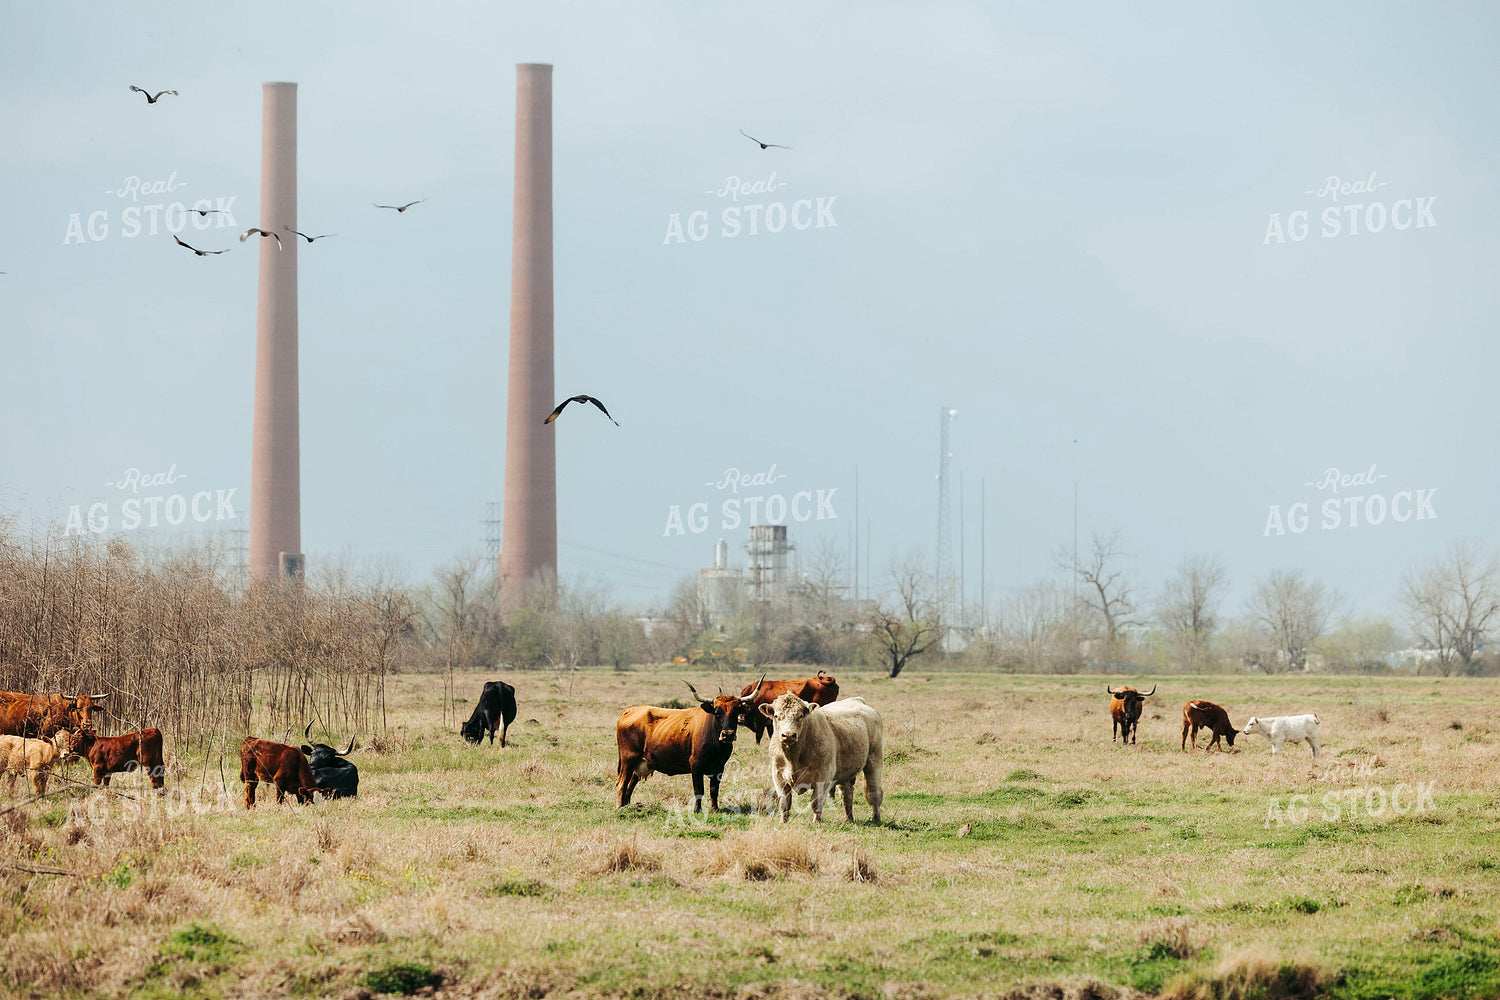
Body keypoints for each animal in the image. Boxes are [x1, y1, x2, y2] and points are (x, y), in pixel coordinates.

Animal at [615, 676, 764, 813]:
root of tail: (630, 710)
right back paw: (620, 808)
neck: (717, 745)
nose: (728, 735)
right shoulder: (696, 765)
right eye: (717, 712)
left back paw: (627, 807)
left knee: (630, 785)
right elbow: (699, 790)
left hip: (639, 763)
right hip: (628, 759)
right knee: (621, 784)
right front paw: (697, 810)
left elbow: (714, 789)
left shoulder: (719, 767)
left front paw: (715, 809)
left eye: (736, 712)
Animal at [760, 693, 884, 824]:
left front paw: (816, 822)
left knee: (874, 792)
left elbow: (816, 801)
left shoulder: (824, 776)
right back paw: (849, 819)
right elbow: (785, 802)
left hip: (874, 760)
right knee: (847, 794)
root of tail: (858, 700)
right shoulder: (778, 775)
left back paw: (876, 819)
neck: (793, 758)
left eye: (800, 715)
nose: (788, 735)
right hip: (846, 771)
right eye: (776, 716)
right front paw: (783, 822)